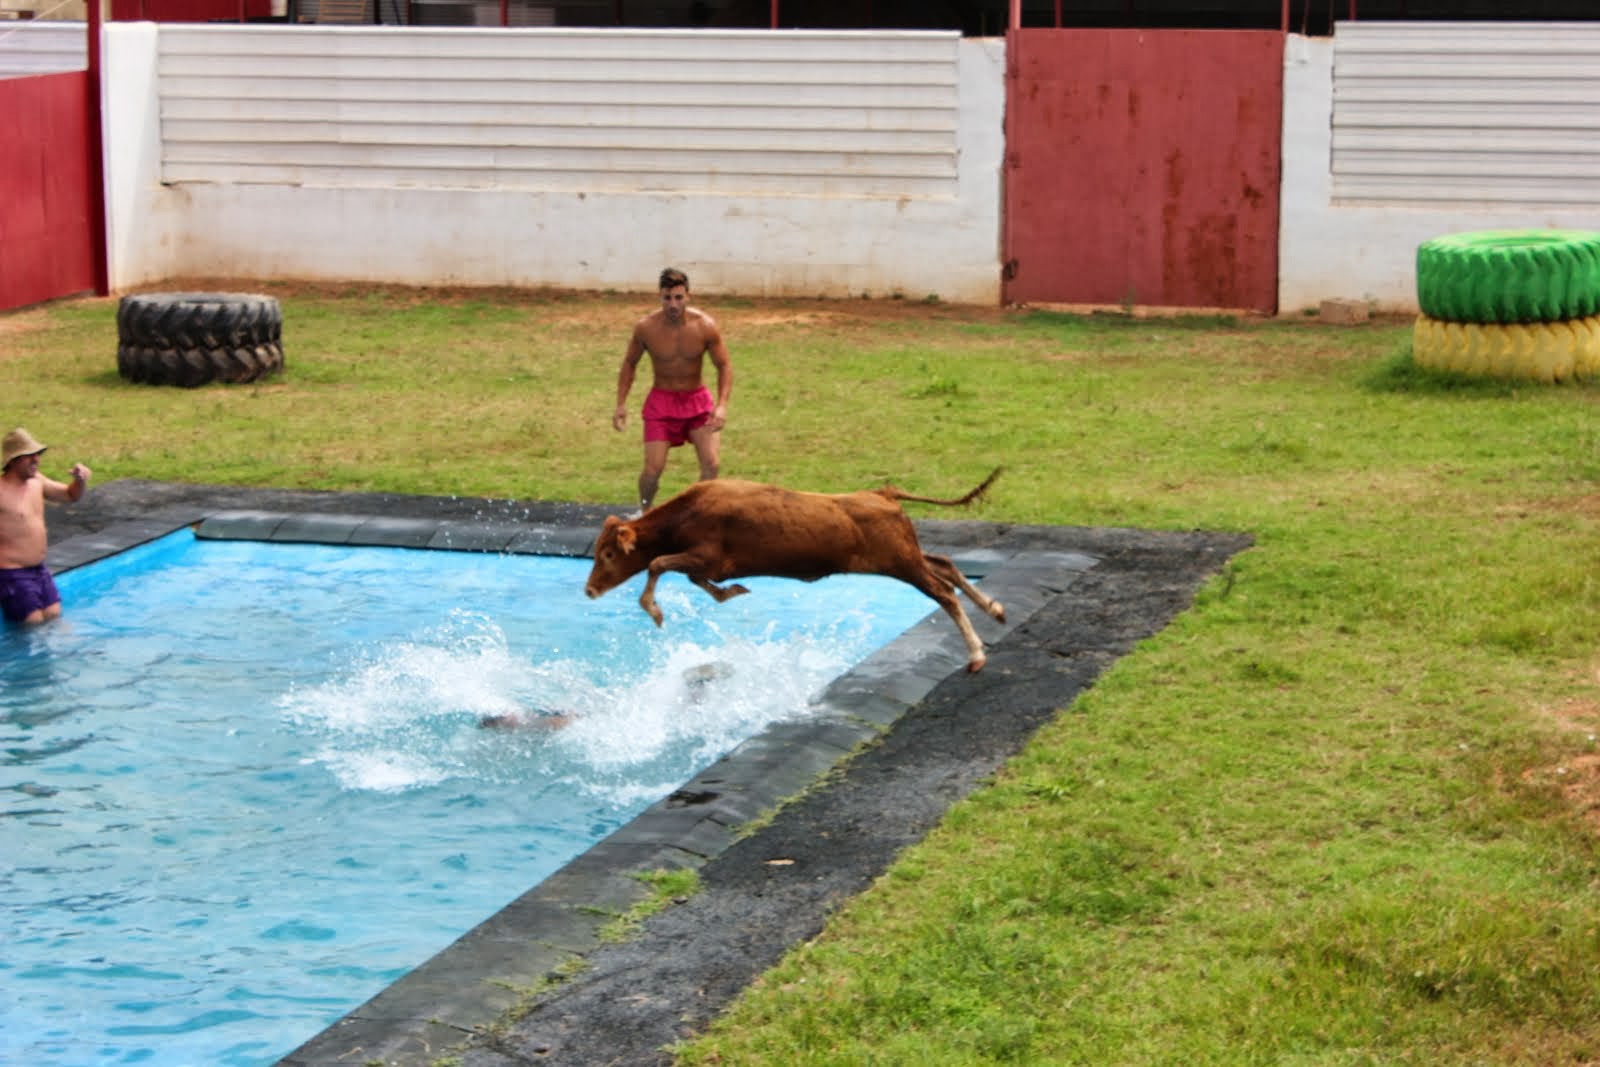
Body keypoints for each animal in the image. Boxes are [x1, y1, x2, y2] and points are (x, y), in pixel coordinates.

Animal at [582, 470, 1004, 671]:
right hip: (907, 557)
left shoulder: (706, 556)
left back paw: (976, 654)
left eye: (608, 554)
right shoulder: (709, 565)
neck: (688, 513)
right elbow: (695, 578)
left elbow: (658, 564)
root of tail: (882, 494)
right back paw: (994, 609)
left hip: (902, 563)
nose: (589, 591)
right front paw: (731, 592)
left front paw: (655, 610)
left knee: (943, 592)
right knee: (945, 564)